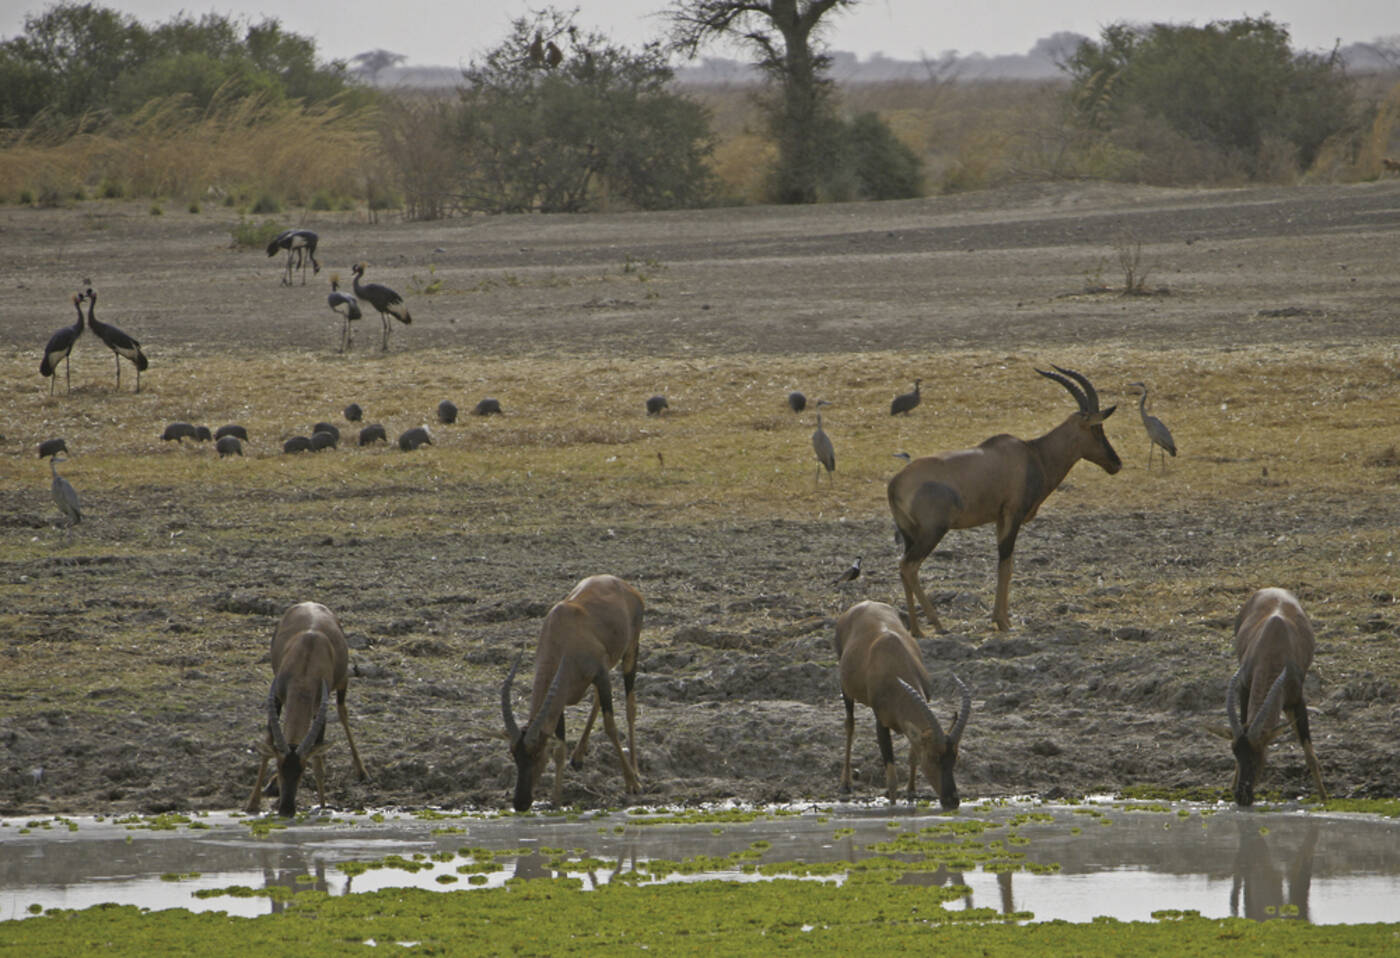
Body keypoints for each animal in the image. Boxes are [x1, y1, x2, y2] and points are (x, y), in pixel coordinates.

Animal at [247, 602, 368, 816]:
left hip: (342, 681)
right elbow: (268, 744)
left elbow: (318, 761)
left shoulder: (320, 708)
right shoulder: (276, 697)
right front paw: (253, 803)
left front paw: (323, 806)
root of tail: (311, 604)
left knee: (342, 712)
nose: (286, 809)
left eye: (302, 769)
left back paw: (361, 771)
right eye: (279, 766)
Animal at [500, 574, 643, 811]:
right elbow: (560, 748)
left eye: (537, 752)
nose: (520, 802)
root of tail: (622, 584)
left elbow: (611, 727)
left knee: (630, 706)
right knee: (597, 700)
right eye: (513, 753)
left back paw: (636, 771)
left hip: (630, 652)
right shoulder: (561, 697)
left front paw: (631, 783)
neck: (562, 629)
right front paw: (556, 800)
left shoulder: (600, 674)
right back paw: (578, 757)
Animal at [834, 601, 971, 808]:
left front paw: (911, 791)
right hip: (845, 688)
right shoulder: (880, 722)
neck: (892, 656)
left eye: (955, 756)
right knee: (849, 724)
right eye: (932, 757)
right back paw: (845, 785)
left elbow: (912, 754)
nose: (952, 801)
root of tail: (861, 605)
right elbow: (892, 777)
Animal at [887, 365, 1121, 635]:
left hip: (910, 535)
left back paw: (916, 630)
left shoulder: (999, 519)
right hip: (932, 532)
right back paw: (937, 624)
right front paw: (1003, 622)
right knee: (909, 566)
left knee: (904, 568)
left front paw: (1001, 619)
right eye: (1096, 428)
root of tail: (895, 484)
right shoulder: (1013, 515)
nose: (1116, 463)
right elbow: (1006, 565)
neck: (1032, 453)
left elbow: (1004, 567)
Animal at [1215, 588, 1327, 807]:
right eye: (1235, 751)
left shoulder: (1298, 700)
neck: (1275, 638)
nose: (1242, 796)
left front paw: (1325, 798)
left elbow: (1310, 754)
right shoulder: (1244, 689)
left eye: (1260, 751)